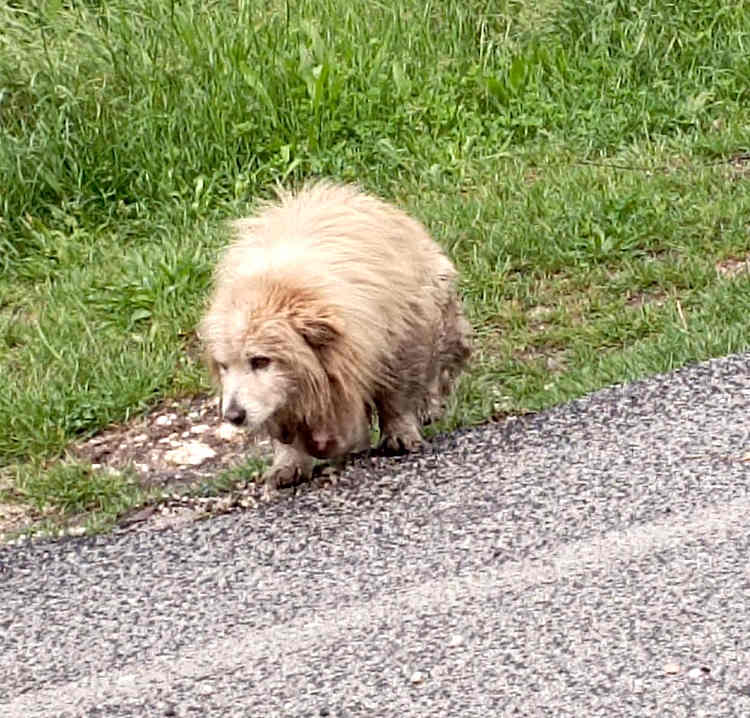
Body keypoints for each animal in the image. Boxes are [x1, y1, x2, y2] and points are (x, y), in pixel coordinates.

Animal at [197, 179, 472, 498]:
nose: (234, 415)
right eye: (224, 366)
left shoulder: (398, 339)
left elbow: (396, 397)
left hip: (438, 311)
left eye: (260, 360)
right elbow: (285, 427)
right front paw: (289, 464)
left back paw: (430, 405)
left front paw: (399, 435)